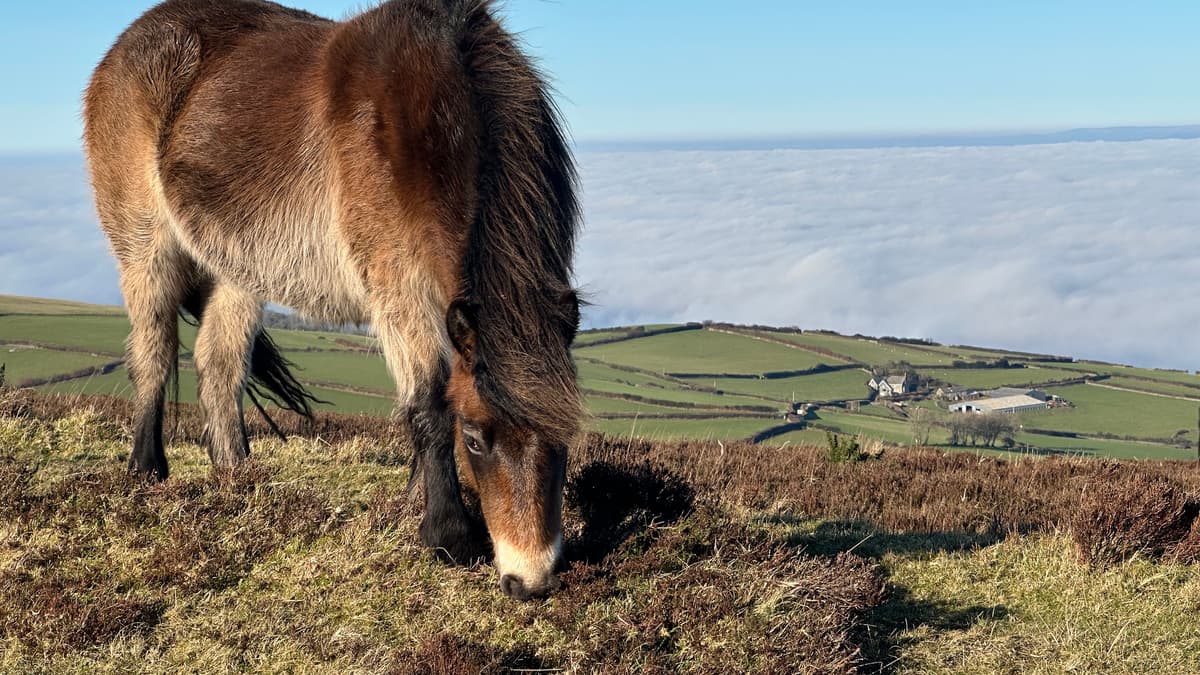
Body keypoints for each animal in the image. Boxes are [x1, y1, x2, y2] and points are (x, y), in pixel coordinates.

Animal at [83, 0, 582, 600]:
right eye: (475, 438)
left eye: (565, 440)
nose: (529, 580)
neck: (434, 118)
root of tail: (124, 47)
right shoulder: (399, 288)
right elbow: (429, 403)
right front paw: (448, 536)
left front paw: (412, 506)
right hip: (145, 248)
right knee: (154, 353)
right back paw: (147, 471)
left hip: (237, 269)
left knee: (218, 364)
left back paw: (239, 480)